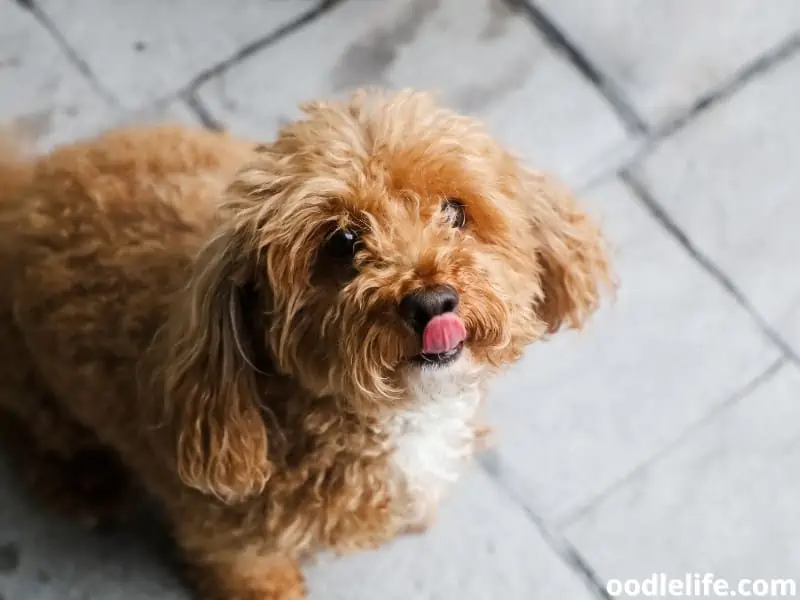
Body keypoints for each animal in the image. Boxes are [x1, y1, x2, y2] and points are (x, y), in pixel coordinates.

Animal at [0, 90, 612, 600]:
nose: (433, 301)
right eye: (342, 242)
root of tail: (22, 185)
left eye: (455, 211)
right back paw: (81, 483)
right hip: (38, 389)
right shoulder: (221, 530)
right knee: (34, 429)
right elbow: (247, 571)